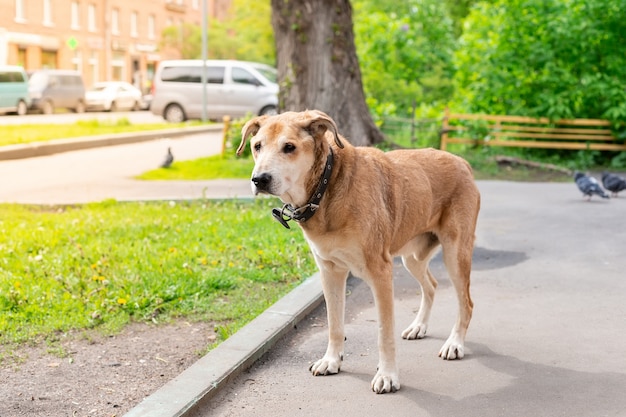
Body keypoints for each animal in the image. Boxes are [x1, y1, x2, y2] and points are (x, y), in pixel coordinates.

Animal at [236, 109, 480, 392]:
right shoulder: (330, 272)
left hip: (455, 255)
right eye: (257, 146)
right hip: (413, 258)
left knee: (467, 303)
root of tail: (462, 162)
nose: (259, 179)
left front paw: (387, 375)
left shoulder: (380, 273)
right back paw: (419, 326)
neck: (327, 186)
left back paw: (455, 343)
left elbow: (384, 332)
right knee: (431, 285)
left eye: (289, 147)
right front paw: (331, 360)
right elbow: (334, 324)